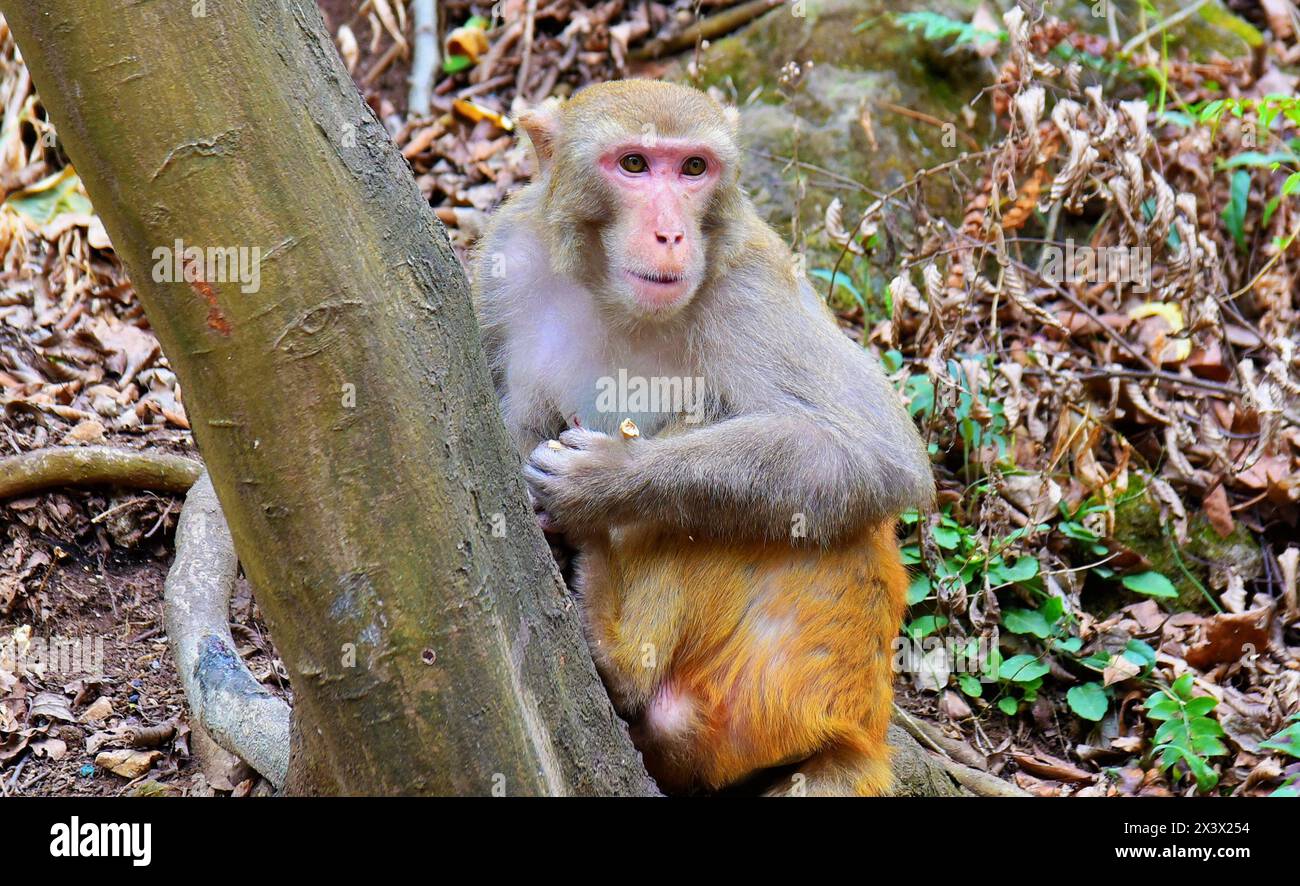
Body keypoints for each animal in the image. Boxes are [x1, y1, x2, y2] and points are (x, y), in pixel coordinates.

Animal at [473, 77, 930, 795]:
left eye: (694, 168)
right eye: (634, 164)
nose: (670, 233)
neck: (612, 296)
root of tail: (860, 726)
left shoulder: (752, 287)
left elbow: (876, 455)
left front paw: (606, 480)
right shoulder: (508, 254)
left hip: (769, 685)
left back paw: (616, 637)